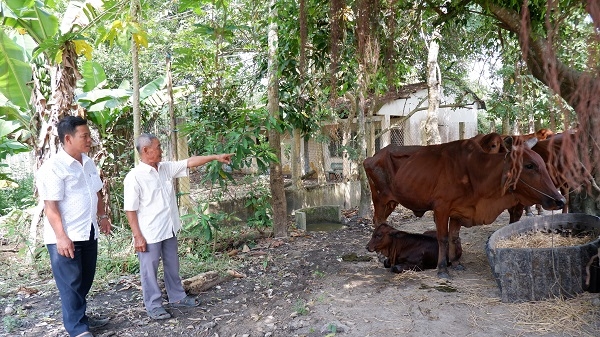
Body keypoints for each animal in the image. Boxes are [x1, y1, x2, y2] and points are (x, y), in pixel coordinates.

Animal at [364, 133, 564, 276]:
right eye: (529, 165)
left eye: (542, 163)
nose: (559, 200)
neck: (475, 173)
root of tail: (371, 157)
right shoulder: (441, 208)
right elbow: (443, 238)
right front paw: (442, 268)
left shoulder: (459, 211)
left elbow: (454, 237)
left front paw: (455, 263)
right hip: (381, 200)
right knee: (378, 222)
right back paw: (379, 255)